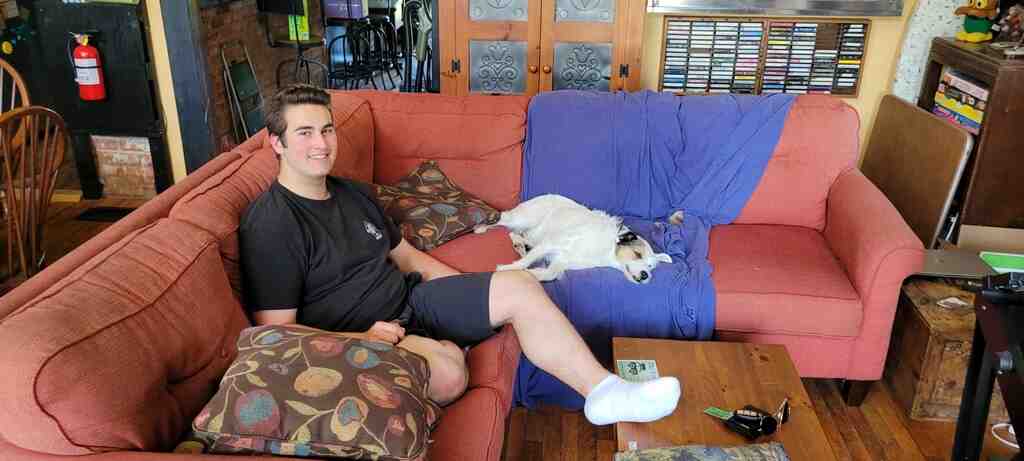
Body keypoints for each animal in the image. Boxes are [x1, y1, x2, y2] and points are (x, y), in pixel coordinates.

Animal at [473, 194, 673, 284]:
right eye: (637, 254)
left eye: (651, 266)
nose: (646, 275)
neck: (604, 249)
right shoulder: (551, 243)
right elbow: (523, 264)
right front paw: (506, 269)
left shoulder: (560, 262)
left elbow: (547, 273)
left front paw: (529, 274)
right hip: (523, 219)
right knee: (502, 219)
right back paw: (481, 228)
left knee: (516, 234)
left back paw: (519, 244)